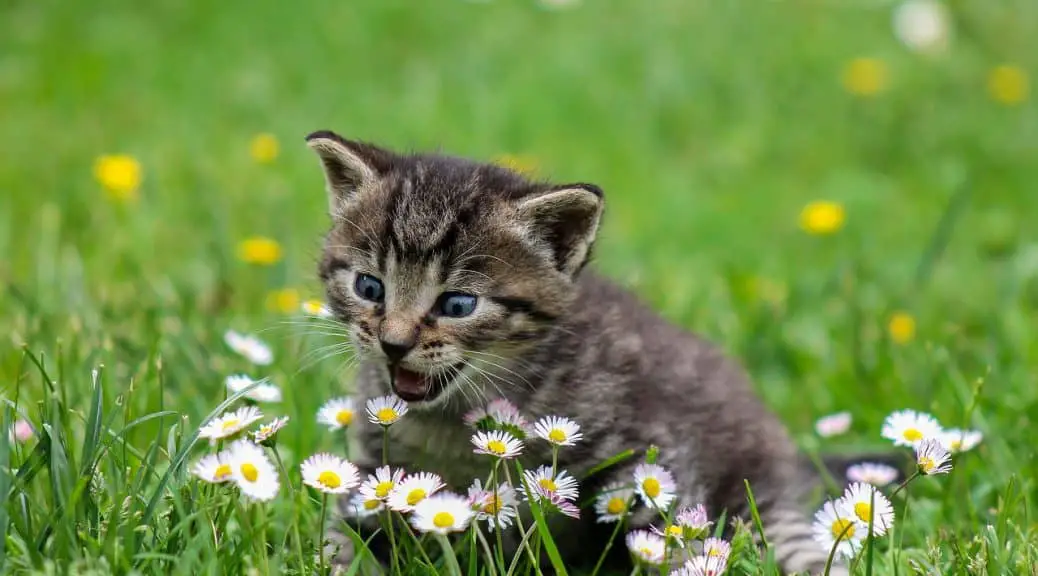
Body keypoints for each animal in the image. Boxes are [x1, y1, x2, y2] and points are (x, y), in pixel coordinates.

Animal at [309, 131, 859, 576]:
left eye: (458, 304)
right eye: (369, 287)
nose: (393, 343)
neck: (453, 420)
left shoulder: (647, 458)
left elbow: (671, 538)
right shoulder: (375, 475)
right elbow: (342, 540)